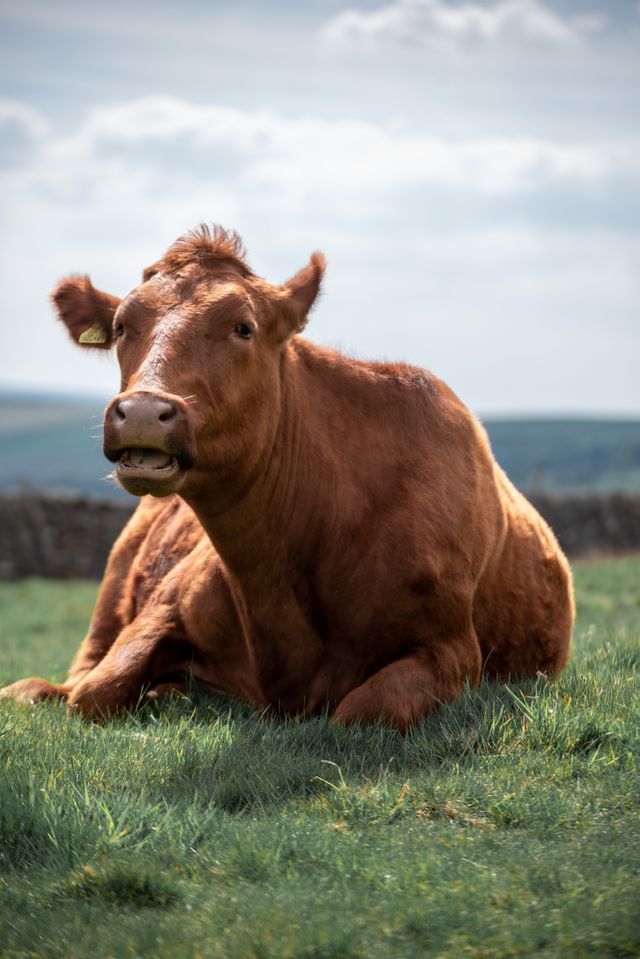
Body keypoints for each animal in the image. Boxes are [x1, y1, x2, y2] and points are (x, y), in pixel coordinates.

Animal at [0, 225, 574, 730]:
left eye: (243, 327)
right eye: (121, 325)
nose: (142, 411)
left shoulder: (451, 648)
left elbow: (362, 712)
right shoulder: (164, 606)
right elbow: (94, 692)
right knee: (75, 676)